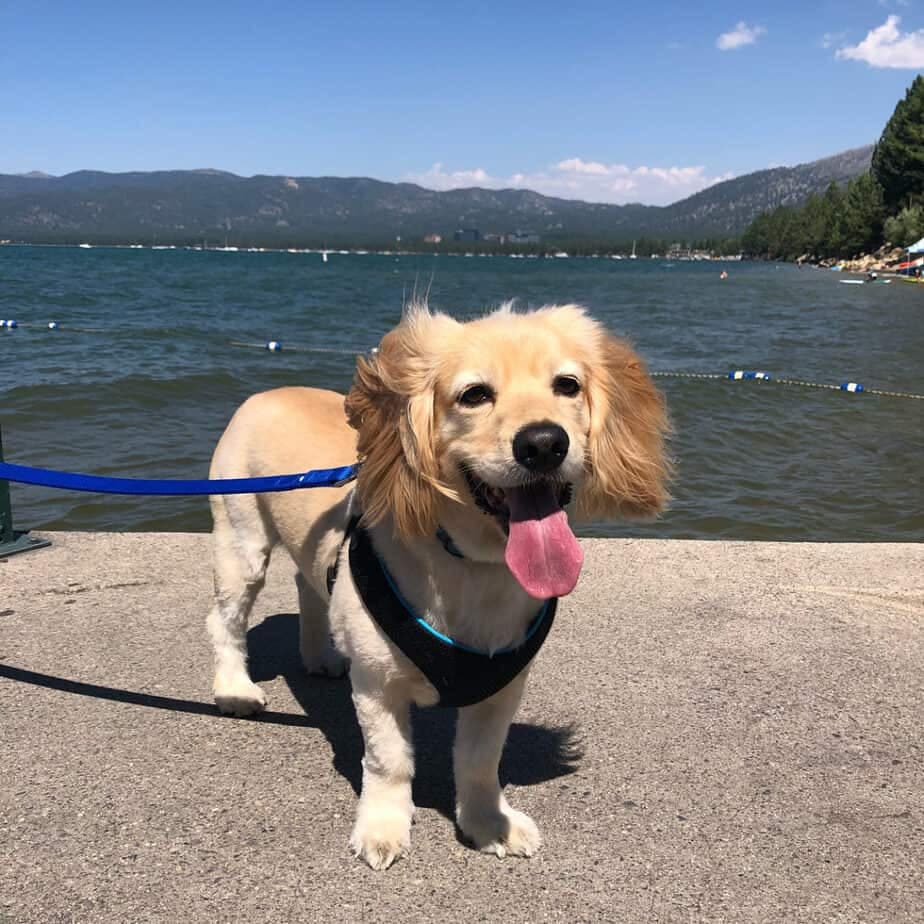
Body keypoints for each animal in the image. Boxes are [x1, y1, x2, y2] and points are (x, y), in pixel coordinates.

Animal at [206, 302, 668, 868]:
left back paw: (321, 654)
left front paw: (488, 824)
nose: (543, 443)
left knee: (307, 582)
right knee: (225, 619)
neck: (471, 563)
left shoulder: (502, 686)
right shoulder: (378, 686)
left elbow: (479, 763)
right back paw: (234, 689)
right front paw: (382, 827)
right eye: (474, 394)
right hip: (240, 537)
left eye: (568, 385)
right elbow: (389, 761)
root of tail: (269, 391)